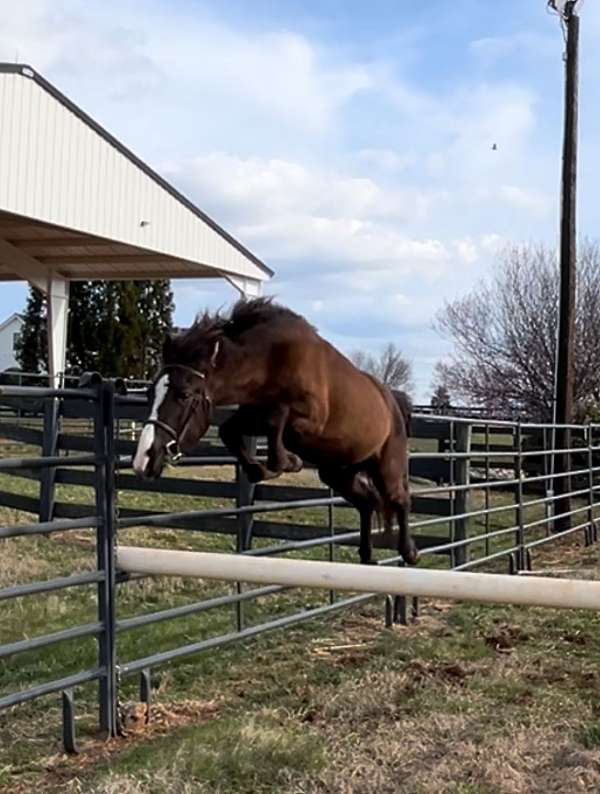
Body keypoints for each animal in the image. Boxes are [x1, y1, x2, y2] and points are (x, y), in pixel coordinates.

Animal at [132, 296, 418, 564]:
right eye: (150, 393)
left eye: (184, 395)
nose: (144, 461)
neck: (270, 361)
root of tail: (394, 402)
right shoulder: (251, 416)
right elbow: (230, 431)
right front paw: (263, 469)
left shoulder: (308, 420)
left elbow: (277, 420)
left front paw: (289, 461)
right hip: (337, 471)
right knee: (367, 502)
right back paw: (367, 555)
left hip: (386, 467)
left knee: (400, 498)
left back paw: (410, 552)